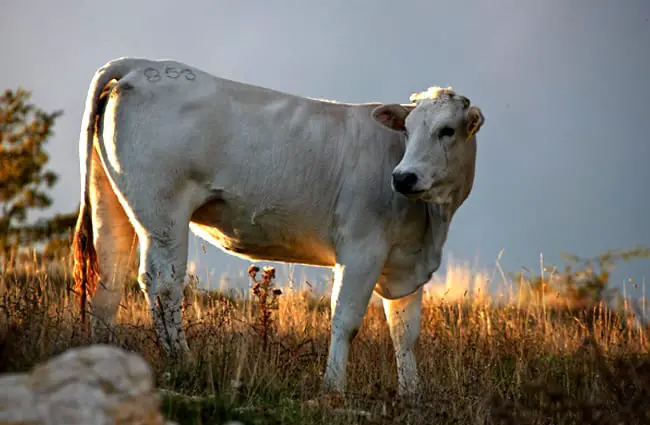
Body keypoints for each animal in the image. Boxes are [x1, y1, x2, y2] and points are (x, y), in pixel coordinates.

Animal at [72, 55, 480, 394]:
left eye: (447, 130)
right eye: (407, 130)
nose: (403, 177)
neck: (431, 226)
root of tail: (143, 64)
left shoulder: (405, 261)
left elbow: (405, 334)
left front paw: (412, 394)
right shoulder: (361, 248)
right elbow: (345, 319)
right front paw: (333, 386)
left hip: (112, 203)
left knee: (108, 280)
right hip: (162, 213)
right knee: (163, 284)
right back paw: (183, 359)